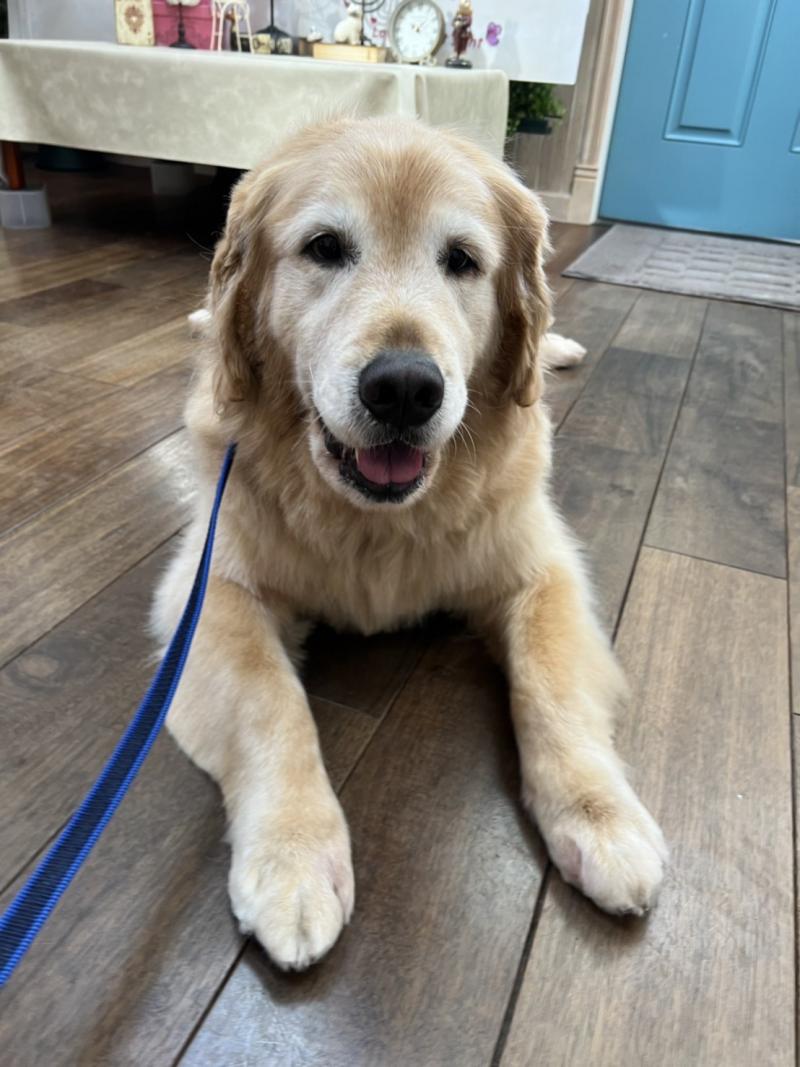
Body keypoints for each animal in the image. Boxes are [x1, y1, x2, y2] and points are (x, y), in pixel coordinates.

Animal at [152, 117, 667, 971]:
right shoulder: (210, 590)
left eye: (461, 260)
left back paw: (559, 348)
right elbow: (272, 704)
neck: (376, 519)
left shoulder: (541, 571)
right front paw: (294, 857)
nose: (403, 388)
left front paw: (603, 818)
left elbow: (550, 686)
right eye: (325, 247)